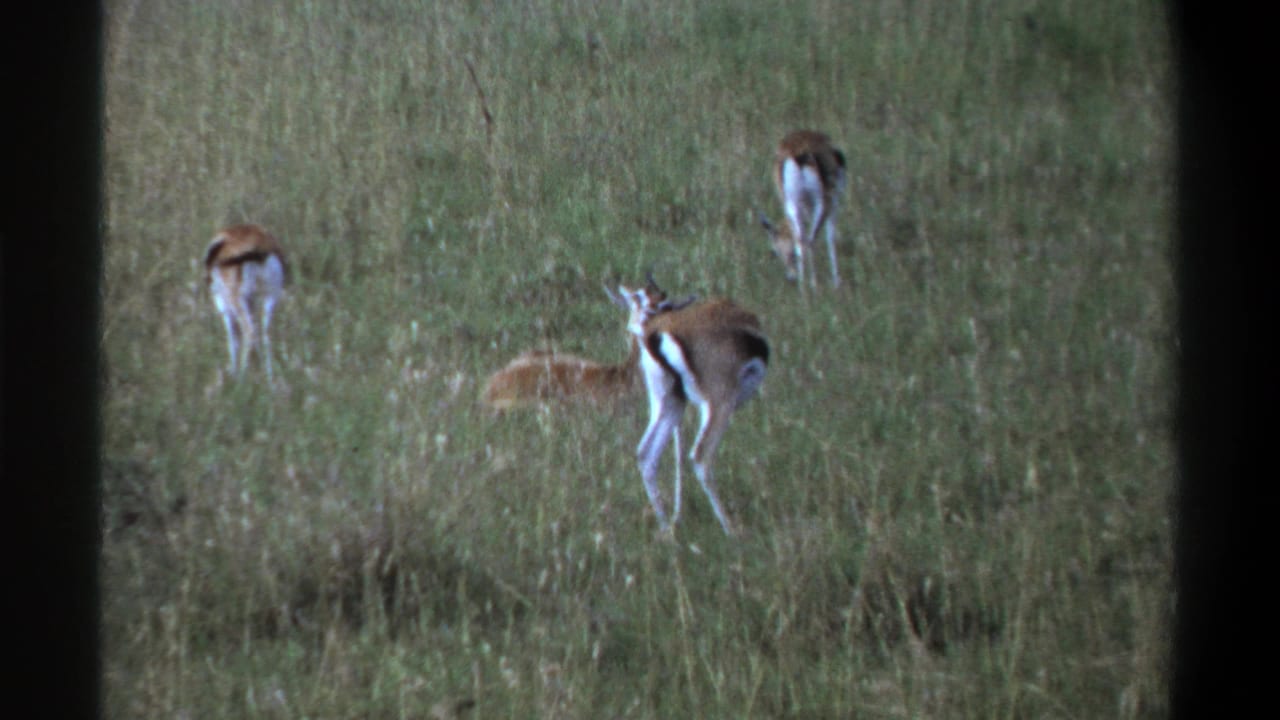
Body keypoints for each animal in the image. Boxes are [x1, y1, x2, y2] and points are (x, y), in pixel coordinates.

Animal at [203, 223, 288, 381]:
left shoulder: (223, 305)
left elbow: (233, 339)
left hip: (236, 300)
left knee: (249, 332)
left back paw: (242, 379)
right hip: (270, 296)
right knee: (266, 334)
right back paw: (269, 380)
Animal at [612, 278, 769, 536]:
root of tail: (658, 335)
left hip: (667, 404)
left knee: (646, 454)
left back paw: (666, 527)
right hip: (718, 404)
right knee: (700, 456)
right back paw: (731, 529)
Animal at [760, 130, 848, 288]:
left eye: (775, 251)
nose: (790, 277)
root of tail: (798, 153)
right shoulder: (834, 204)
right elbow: (830, 238)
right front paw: (836, 282)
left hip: (792, 204)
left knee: (800, 239)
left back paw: (803, 286)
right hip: (822, 203)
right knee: (810, 239)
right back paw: (814, 284)